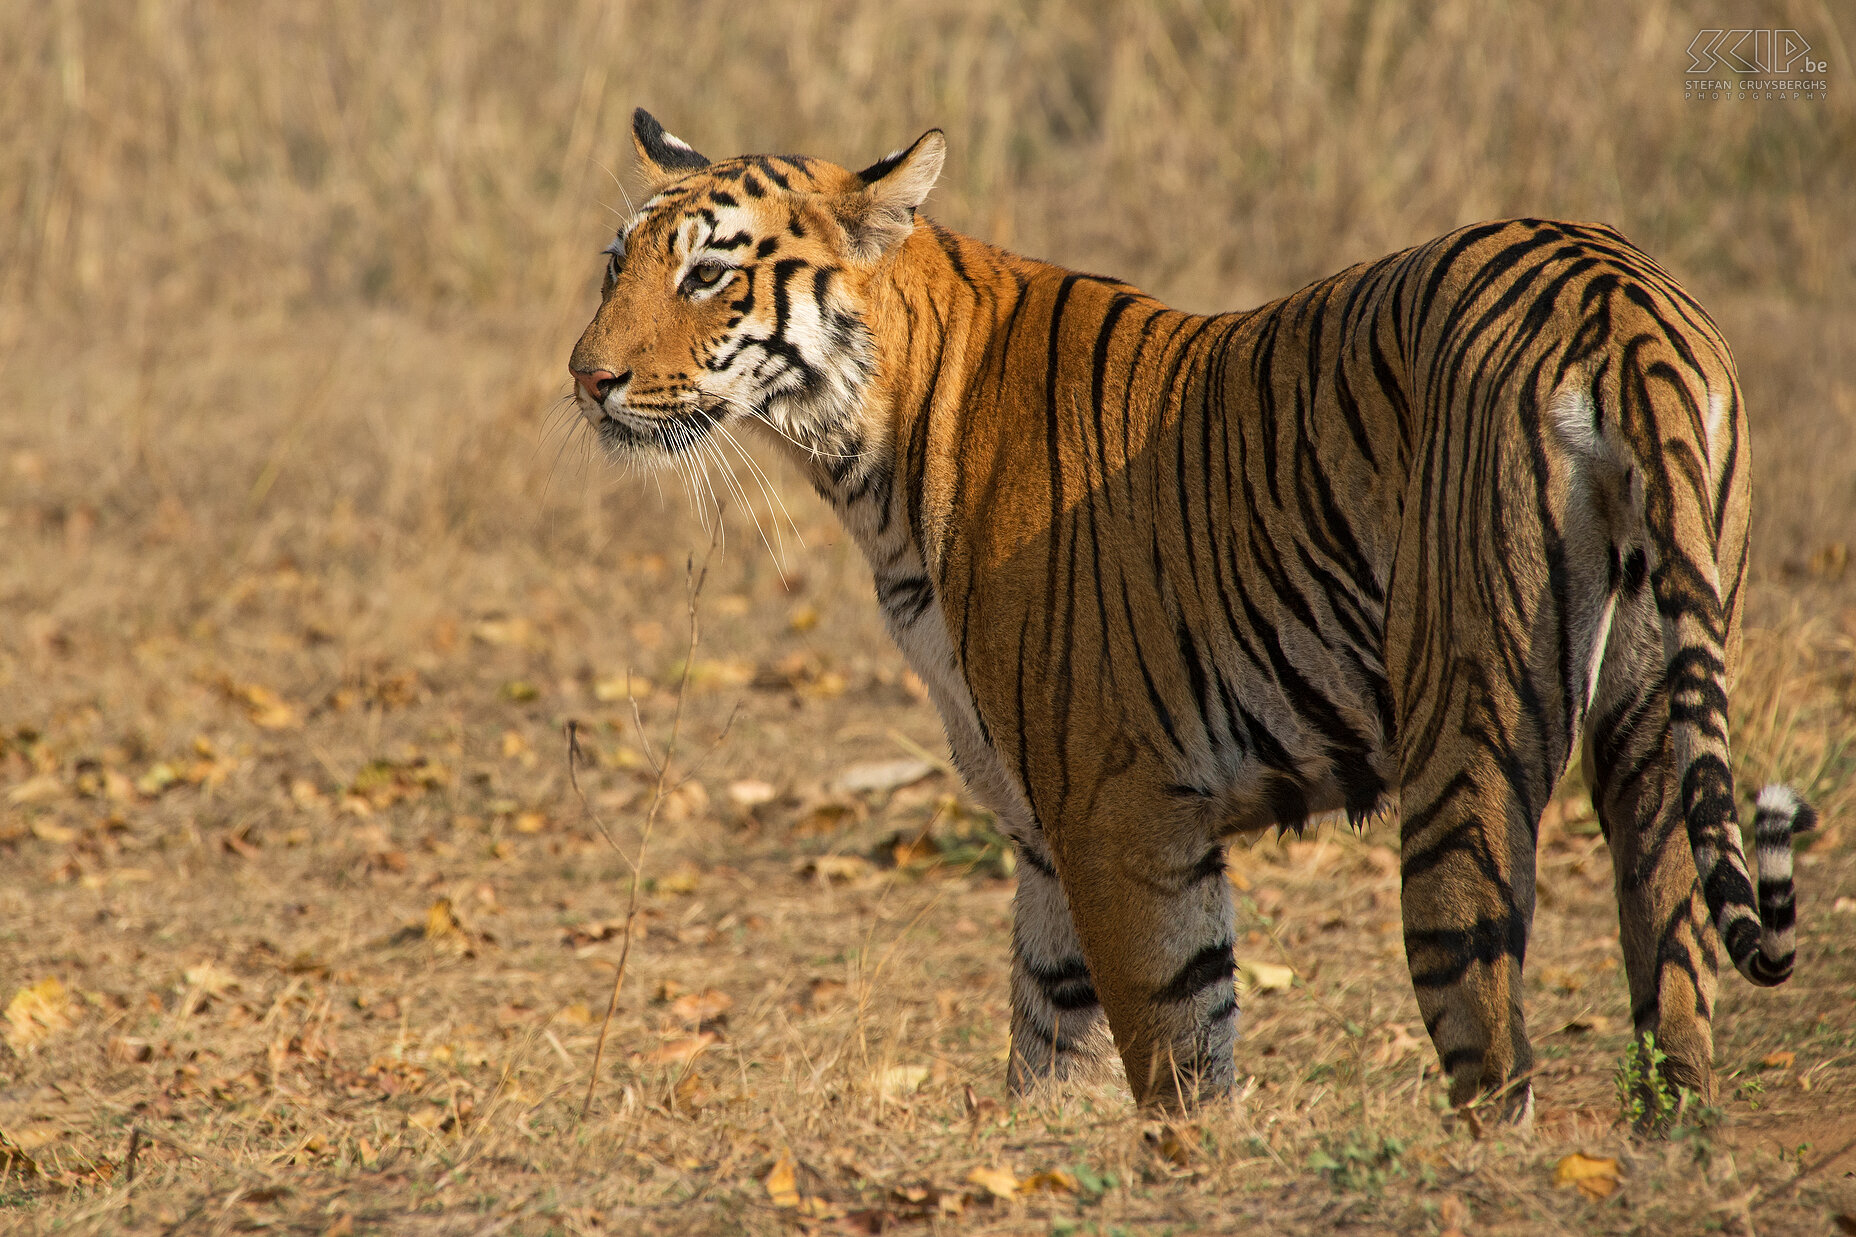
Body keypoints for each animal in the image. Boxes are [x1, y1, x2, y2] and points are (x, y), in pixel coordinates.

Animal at [564, 110, 1811, 1114]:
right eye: (615, 266)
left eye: (707, 276)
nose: (585, 378)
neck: (871, 453)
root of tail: (1612, 289)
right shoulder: (1045, 824)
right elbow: (1050, 1036)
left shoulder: (1118, 808)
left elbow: (1172, 1054)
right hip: (1648, 720)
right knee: (1673, 994)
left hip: (1467, 734)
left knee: (1488, 1038)